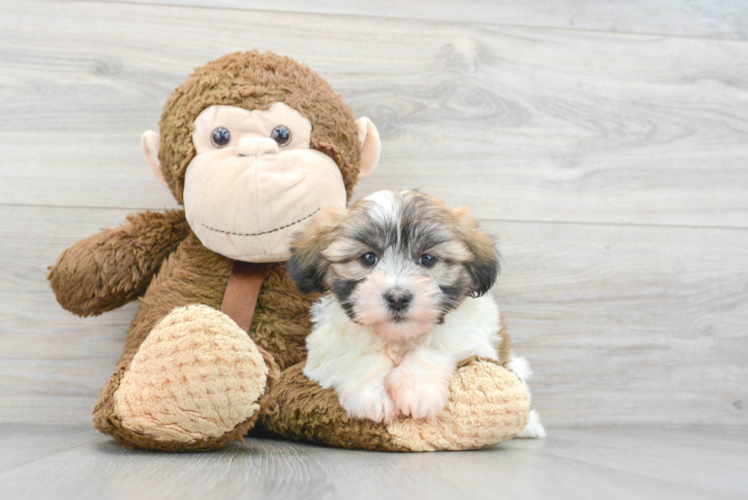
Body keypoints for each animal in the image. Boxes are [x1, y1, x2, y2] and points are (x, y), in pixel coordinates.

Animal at [290, 189, 544, 436]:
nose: (397, 298)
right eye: (368, 258)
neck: (398, 337)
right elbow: (358, 357)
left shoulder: (472, 341)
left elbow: (434, 348)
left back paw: (530, 426)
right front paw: (374, 394)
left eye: (428, 259)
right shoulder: (325, 346)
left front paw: (417, 388)